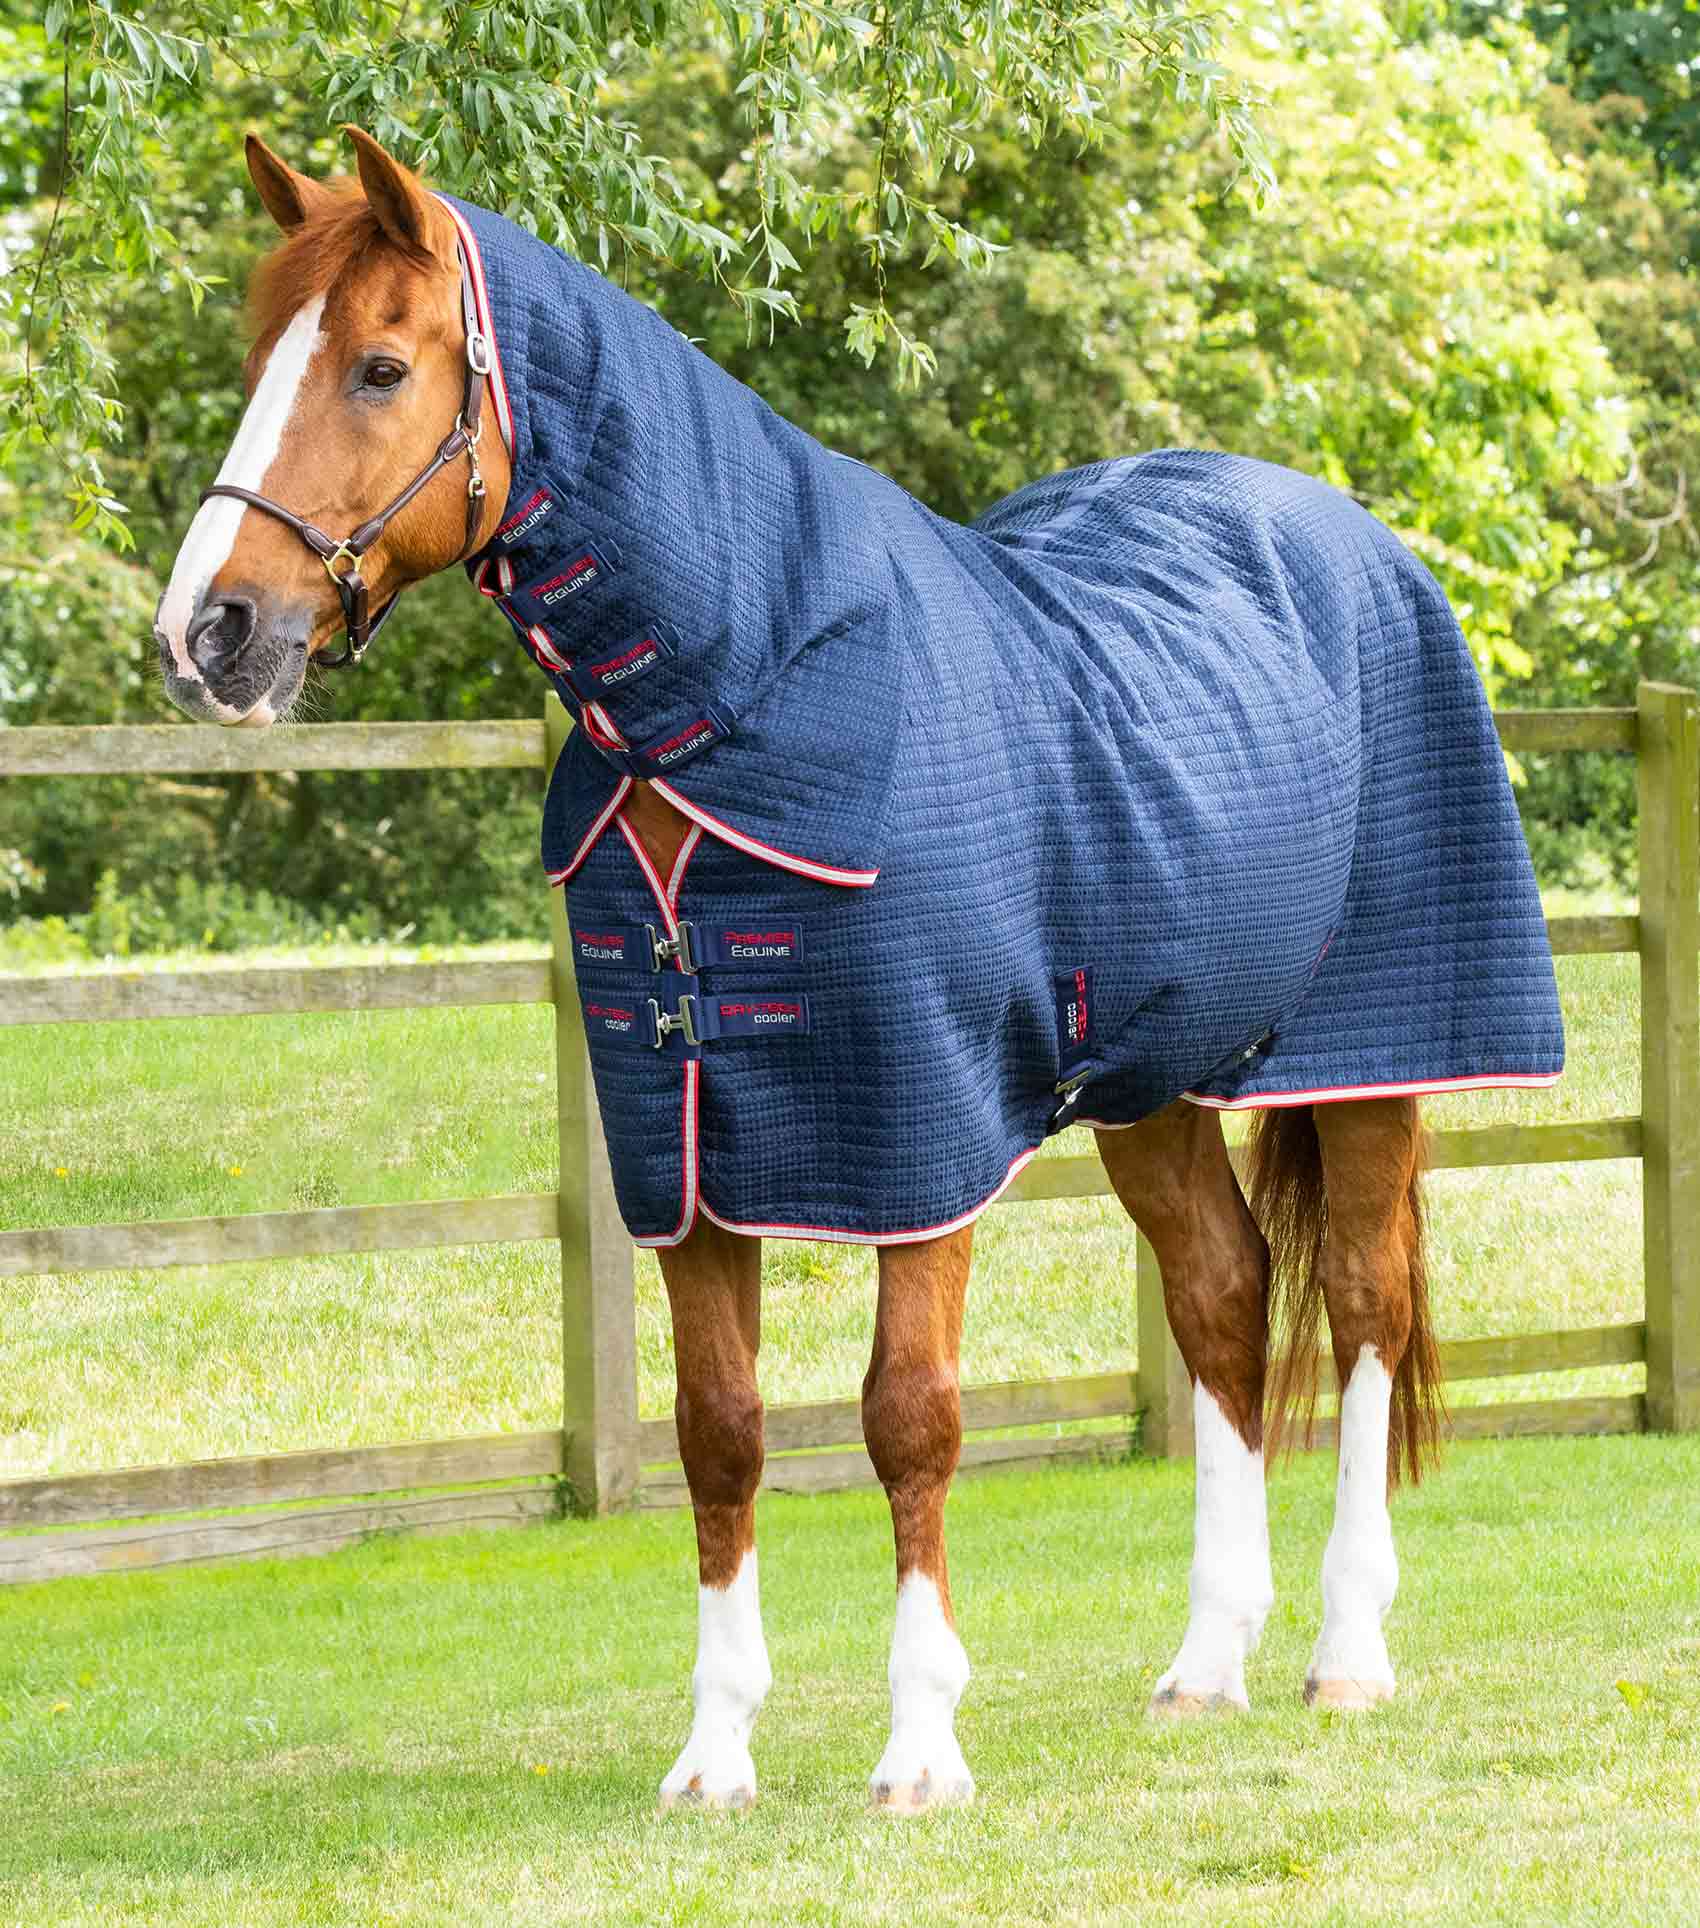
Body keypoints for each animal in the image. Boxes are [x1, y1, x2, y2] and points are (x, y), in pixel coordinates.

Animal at [154, 129, 1564, 1812]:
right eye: (258, 359)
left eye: (378, 365)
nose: (209, 632)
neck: (742, 699)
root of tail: (1355, 541)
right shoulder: (685, 1149)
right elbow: (720, 1430)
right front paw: (714, 1758)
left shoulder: (916, 1131)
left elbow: (909, 1419)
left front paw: (920, 1749)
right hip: (1149, 1085)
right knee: (1225, 1296)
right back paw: (1206, 1665)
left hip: (1373, 1060)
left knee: (1360, 1308)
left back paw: (1346, 1655)